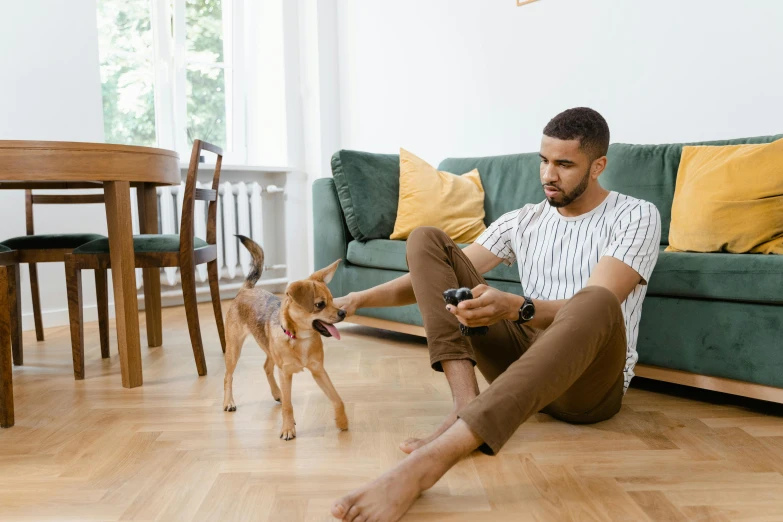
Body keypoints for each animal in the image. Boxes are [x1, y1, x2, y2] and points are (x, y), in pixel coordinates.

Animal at [222, 236, 348, 438]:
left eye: (333, 300)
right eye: (320, 305)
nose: (343, 313)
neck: (300, 339)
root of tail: (245, 290)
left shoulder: (319, 371)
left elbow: (337, 398)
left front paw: (342, 420)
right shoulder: (286, 373)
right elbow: (288, 406)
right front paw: (288, 428)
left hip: (268, 350)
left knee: (266, 367)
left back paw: (277, 393)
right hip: (234, 349)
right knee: (228, 376)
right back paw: (229, 402)